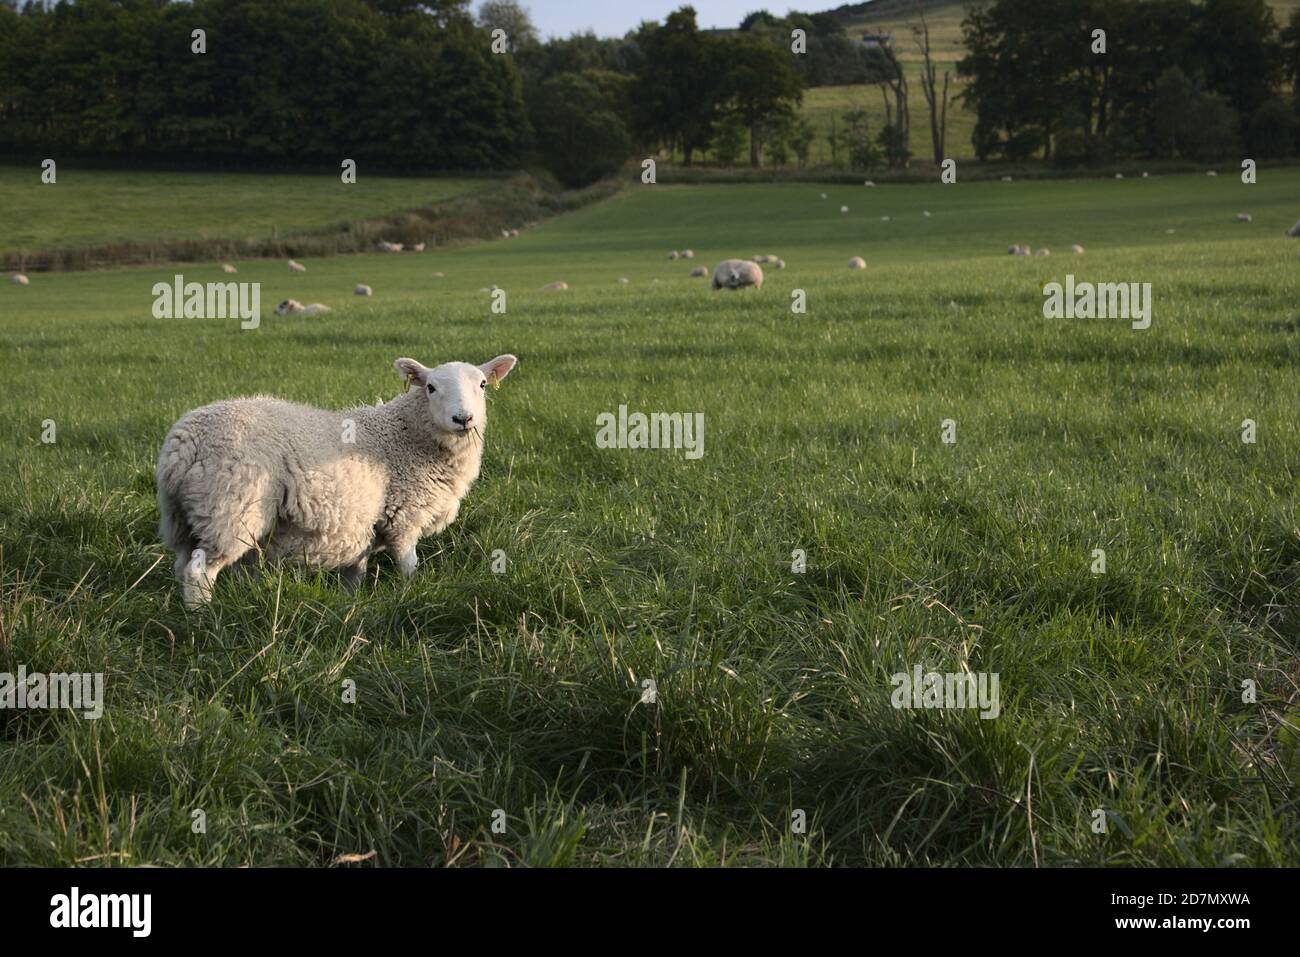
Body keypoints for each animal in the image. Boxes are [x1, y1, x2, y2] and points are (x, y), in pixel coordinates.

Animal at [156, 353, 518, 607]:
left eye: (483, 385)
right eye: (430, 388)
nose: (463, 418)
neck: (406, 435)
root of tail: (183, 444)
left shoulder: (363, 528)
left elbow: (355, 574)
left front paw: (350, 604)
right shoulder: (403, 518)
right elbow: (409, 567)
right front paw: (413, 595)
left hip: (184, 519)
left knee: (182, 565)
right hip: (230, 509)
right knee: (199, 572)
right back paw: (203, 618)